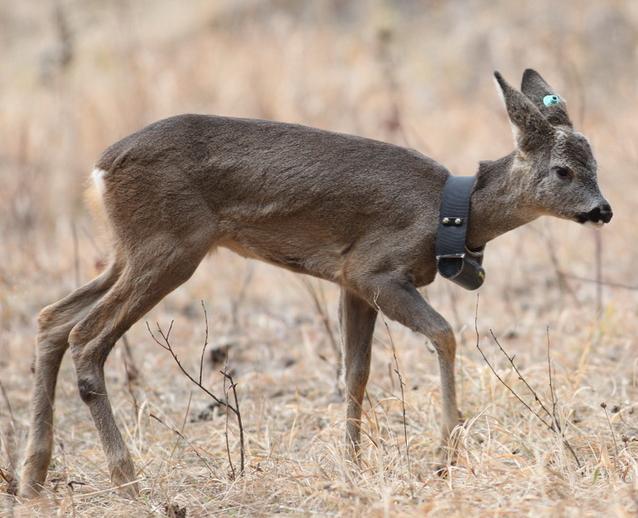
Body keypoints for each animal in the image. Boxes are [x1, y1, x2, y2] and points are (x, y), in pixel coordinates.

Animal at [20, 70, 616, 500]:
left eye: (594, 162)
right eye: (563, 170)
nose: (604, 210)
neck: (451, 214)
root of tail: (99, 170)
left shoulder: (350, 283)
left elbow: (355, 373)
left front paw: (352, 465)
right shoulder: (375, 270)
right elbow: (444, 335)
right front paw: (445, 455)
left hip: (132, 251)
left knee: (53, 319)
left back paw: (32, 476)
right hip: (168, 248)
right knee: (87, 338)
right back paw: (128, 480)